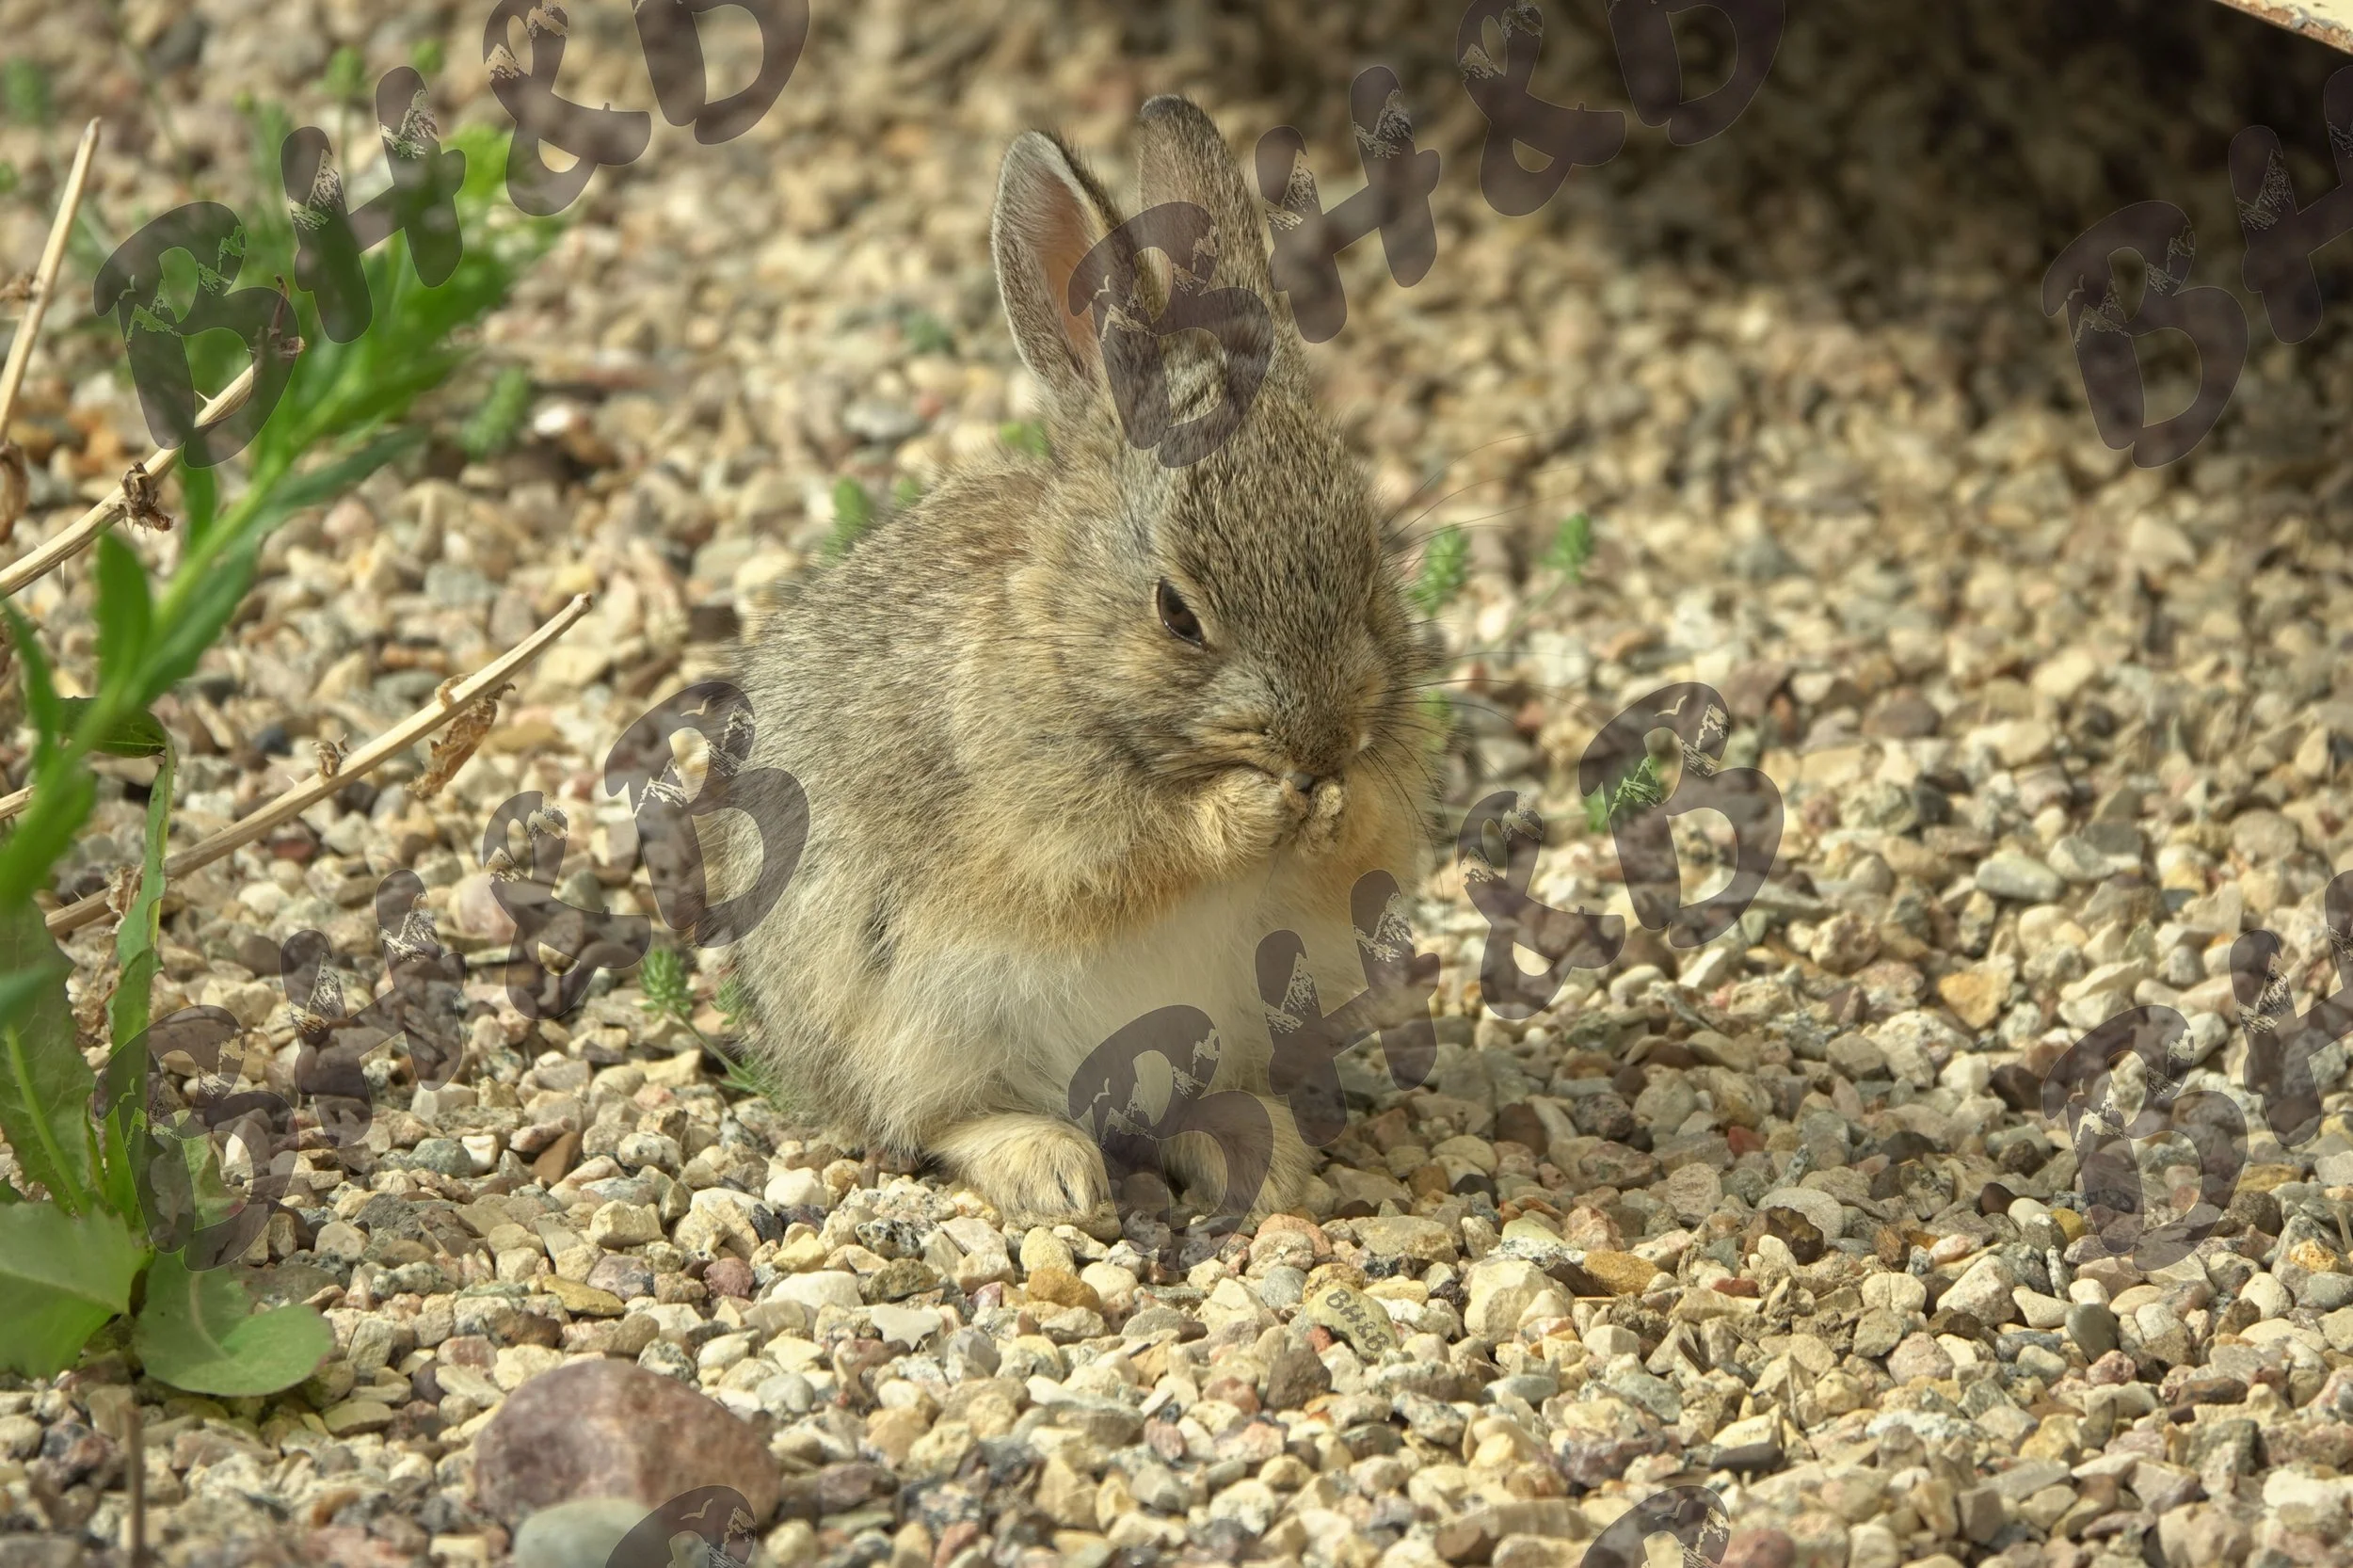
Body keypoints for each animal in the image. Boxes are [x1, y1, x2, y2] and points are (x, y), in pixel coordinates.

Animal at [719, 94, 1443, 1227]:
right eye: (1176, 614)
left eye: (1371, 554)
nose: (1322, 739)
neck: (1068, 643)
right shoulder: (1050, 821)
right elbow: (1133, 848)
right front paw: (1254, 809)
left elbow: (1360, 839)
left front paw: (1332, 806)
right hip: (918, 1021)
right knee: (940, 1118)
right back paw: (1051, 1168)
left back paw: (1260, 1154)